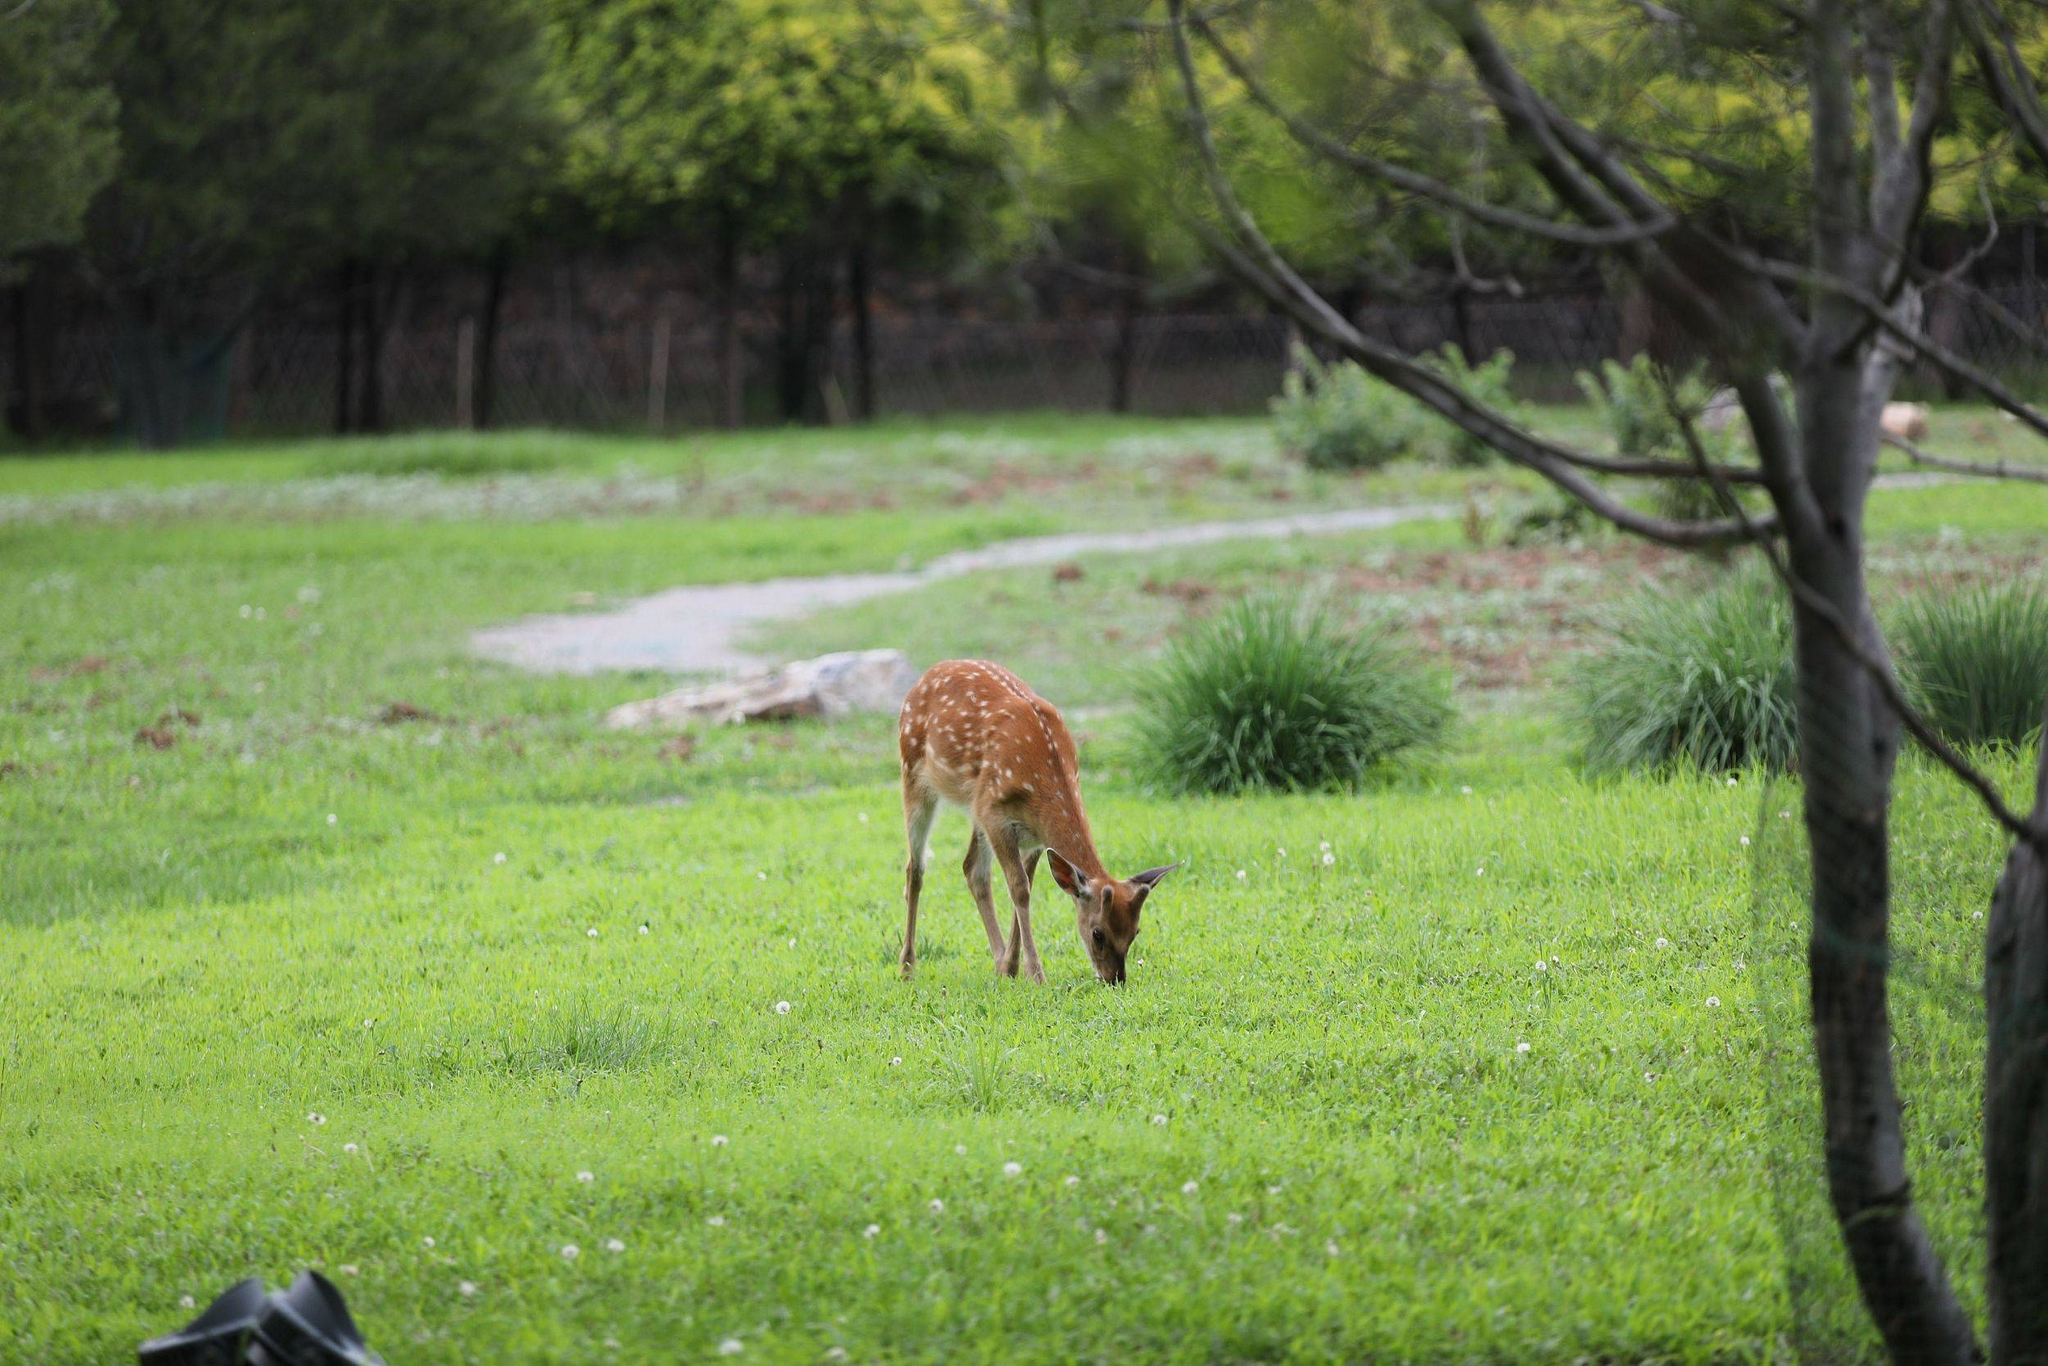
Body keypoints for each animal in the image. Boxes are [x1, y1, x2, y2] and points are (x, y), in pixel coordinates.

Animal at [892, 659, 1171, 983]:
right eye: (1098, 933)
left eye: (1135, 932)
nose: (1115, 978)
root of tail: (927, 674)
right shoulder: (996, 816)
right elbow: (1019, 889)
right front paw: (1036, 974)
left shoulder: (1034, 836)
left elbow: (1025, 887)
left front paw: (1012, 967)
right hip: (914, 774)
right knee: (915, 868)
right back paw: (907, 966)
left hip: (976, 809)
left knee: (972, 869)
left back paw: (999, 961)